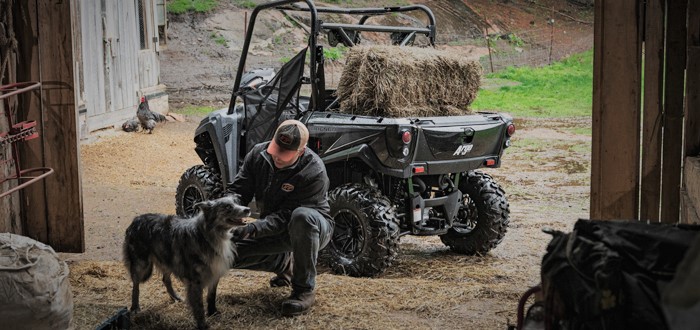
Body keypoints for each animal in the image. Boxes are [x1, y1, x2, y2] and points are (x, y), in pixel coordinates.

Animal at [124, 195, 250, 328]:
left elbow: (211, 296)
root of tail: (137, 219)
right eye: (227, 207)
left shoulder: (214, 274)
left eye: (237, 202)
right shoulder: (195, 282)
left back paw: (175, 297)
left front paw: (213, 312)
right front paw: (202, 325)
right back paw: (135, 307)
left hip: (168, 259)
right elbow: (199, 307)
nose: (247, 209)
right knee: (135, 284)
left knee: (165, 279)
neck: (208, 236)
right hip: (141, 264)